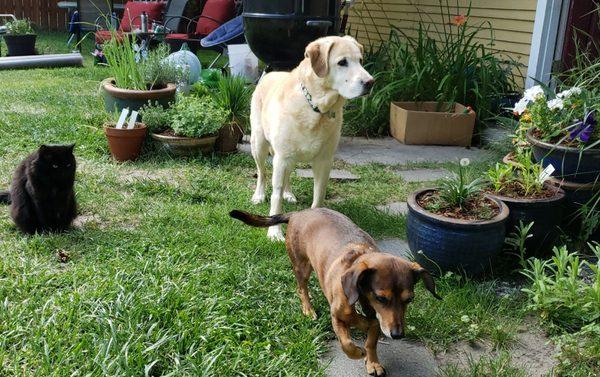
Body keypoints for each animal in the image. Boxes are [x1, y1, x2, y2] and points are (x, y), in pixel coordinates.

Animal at [231, 207, 440, 374]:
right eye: (381, 298)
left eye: (409, 299)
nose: (398, 335)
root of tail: (298, 213)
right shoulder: (337, 316)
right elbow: (346, 343)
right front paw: (358, 352)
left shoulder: (376, 321)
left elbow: (371, 340)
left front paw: (372, 362)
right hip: (302, 266)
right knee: (301, 288)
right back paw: (308, 309)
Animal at [248, 36, 370, 241]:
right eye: (342, 62)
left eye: (360, 61)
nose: (370, 82)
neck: (316, 109)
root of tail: (270, 74)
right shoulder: (281, 158)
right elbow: (275, 196)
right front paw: (274, 232)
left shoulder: (324, 161)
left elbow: (319, 194)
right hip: (259, 145)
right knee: (262, 173)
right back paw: (258, 195)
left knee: (286, 177)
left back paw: (289, 193)